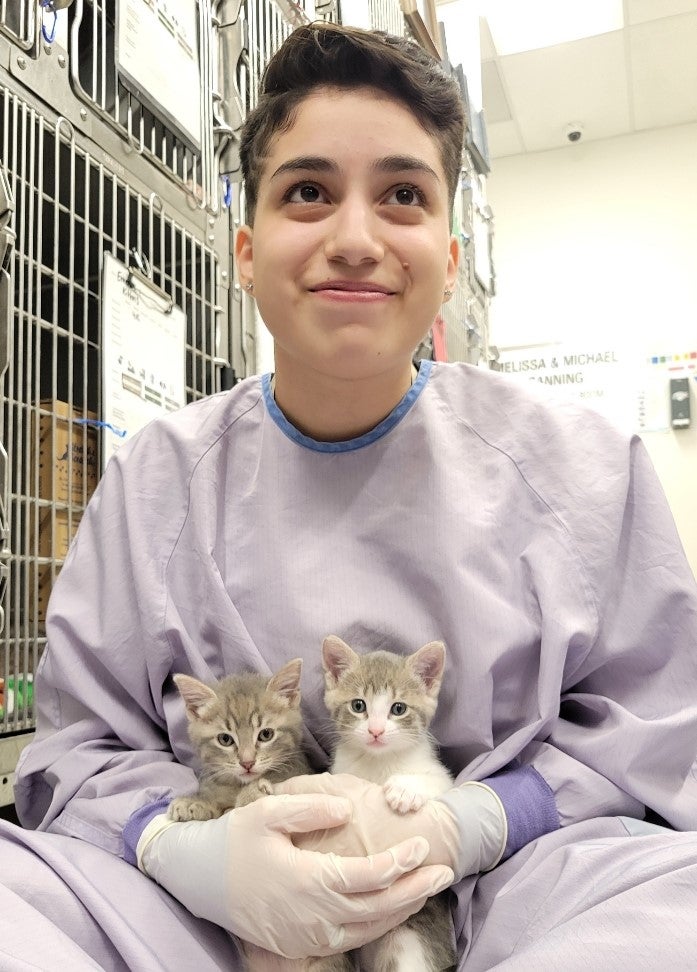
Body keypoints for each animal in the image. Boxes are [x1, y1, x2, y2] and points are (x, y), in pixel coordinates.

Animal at [316, 636, 456, 972]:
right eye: (358, 706)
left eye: (398, 708)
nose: (376, 731)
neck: (378, 762)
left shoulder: (441, 774)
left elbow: (439, 782)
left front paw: (406, 789)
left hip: (410, 937)